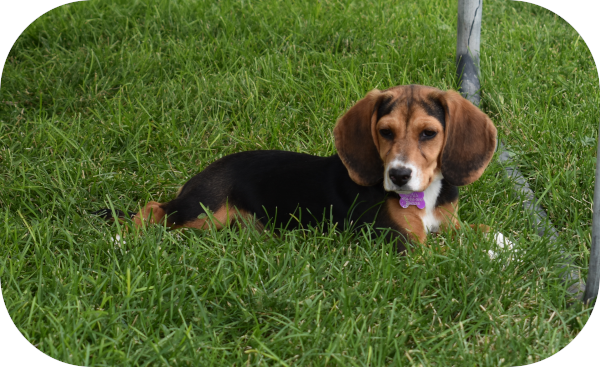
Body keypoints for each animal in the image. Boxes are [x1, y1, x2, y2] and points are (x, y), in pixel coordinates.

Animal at [96, 85, 500, 254]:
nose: (398, 176)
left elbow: (482, 230)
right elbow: (451, 258)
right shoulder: (404, 243)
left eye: (428, 134)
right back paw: (123, 240)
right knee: (153, 210)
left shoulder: (448, 224)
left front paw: (505, 246)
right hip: (204, 211)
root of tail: (204, 172)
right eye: (385, 132)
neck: (424, 196)